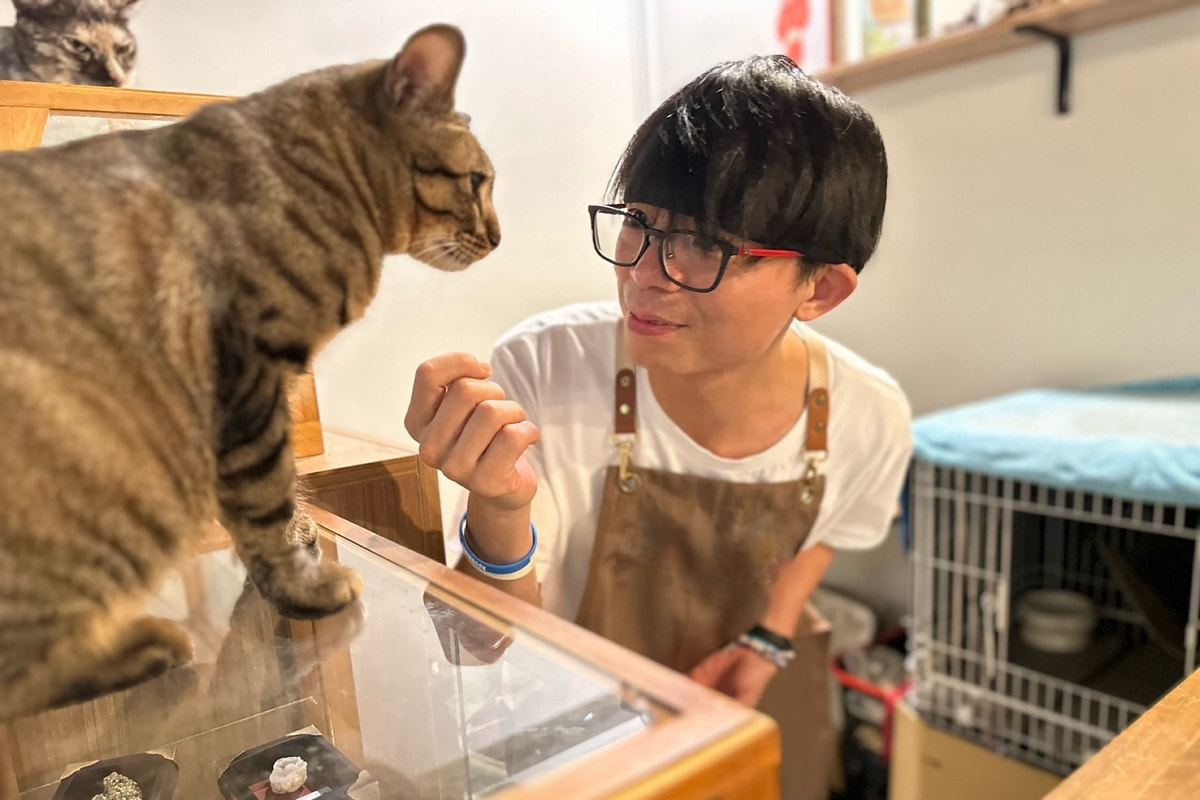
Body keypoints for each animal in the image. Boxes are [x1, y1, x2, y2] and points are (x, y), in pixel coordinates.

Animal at [0, 22, 499, 721]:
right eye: (478, 181)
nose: (499, 237)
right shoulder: (246, 381)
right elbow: (267, 501)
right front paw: (305, 586)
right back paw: (147, 646)